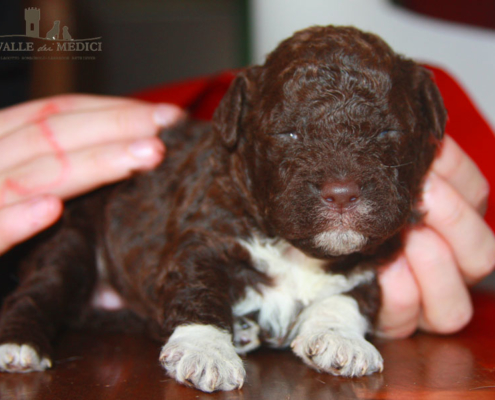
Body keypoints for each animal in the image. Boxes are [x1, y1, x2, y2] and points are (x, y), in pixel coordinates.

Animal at [0, 26, 446, 392]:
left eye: (388, 131)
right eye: (288, 133)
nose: (341, 193)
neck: (293, 249)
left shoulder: (365, 258)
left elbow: (351, 297)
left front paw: (339, 337)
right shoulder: (203, 238)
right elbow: (199, 289)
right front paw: (206, 350)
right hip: (73, 240)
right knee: (42, 288)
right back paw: (19, 343)